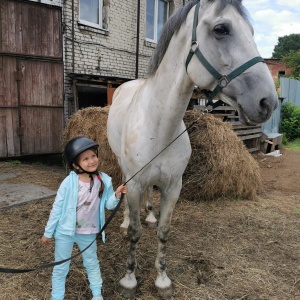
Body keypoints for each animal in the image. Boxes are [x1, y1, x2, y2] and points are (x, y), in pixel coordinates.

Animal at [106, 0, 278, 296]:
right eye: (221, 29)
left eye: (252, 31)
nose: (268, 102)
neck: (159, 126)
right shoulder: (136, 183)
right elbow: (135, 234)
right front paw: (129, 279)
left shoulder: (173, 186)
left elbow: (164, 232)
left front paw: (162, 280)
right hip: (123, 166)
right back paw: (127, 219)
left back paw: (149, 215)